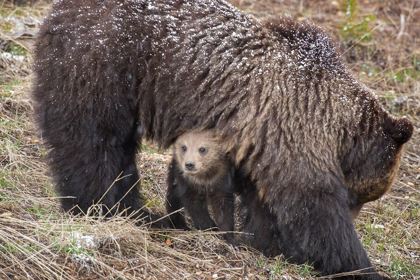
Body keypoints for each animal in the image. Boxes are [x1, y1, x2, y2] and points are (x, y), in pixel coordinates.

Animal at [33, 0, 414, 278]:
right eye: (360, 196)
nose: (355, 213)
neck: (334, 124)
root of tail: (59, 10)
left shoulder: (258, 137)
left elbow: (261, 201)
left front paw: (270, 243)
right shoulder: (294, 124)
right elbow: (311, 202)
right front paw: (357, 264)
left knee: (119, 153)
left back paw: (139, 212)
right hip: (104, 66)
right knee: (92, 145)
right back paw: (99, 207)